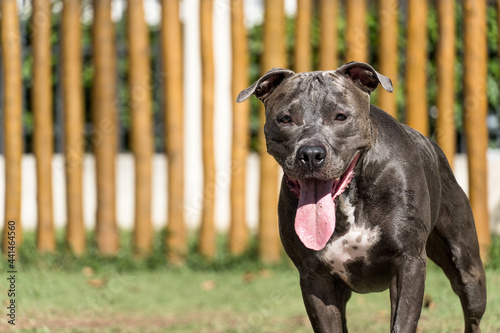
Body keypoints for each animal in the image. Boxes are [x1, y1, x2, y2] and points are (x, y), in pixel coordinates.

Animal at [236, 61, 486, 330]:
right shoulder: (315, 277)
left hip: (467, 269)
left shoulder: (409, 263)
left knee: (472, 313)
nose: (311, 154)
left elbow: (402, 322)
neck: (349, 198)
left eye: (340, 116)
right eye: (285, 119)